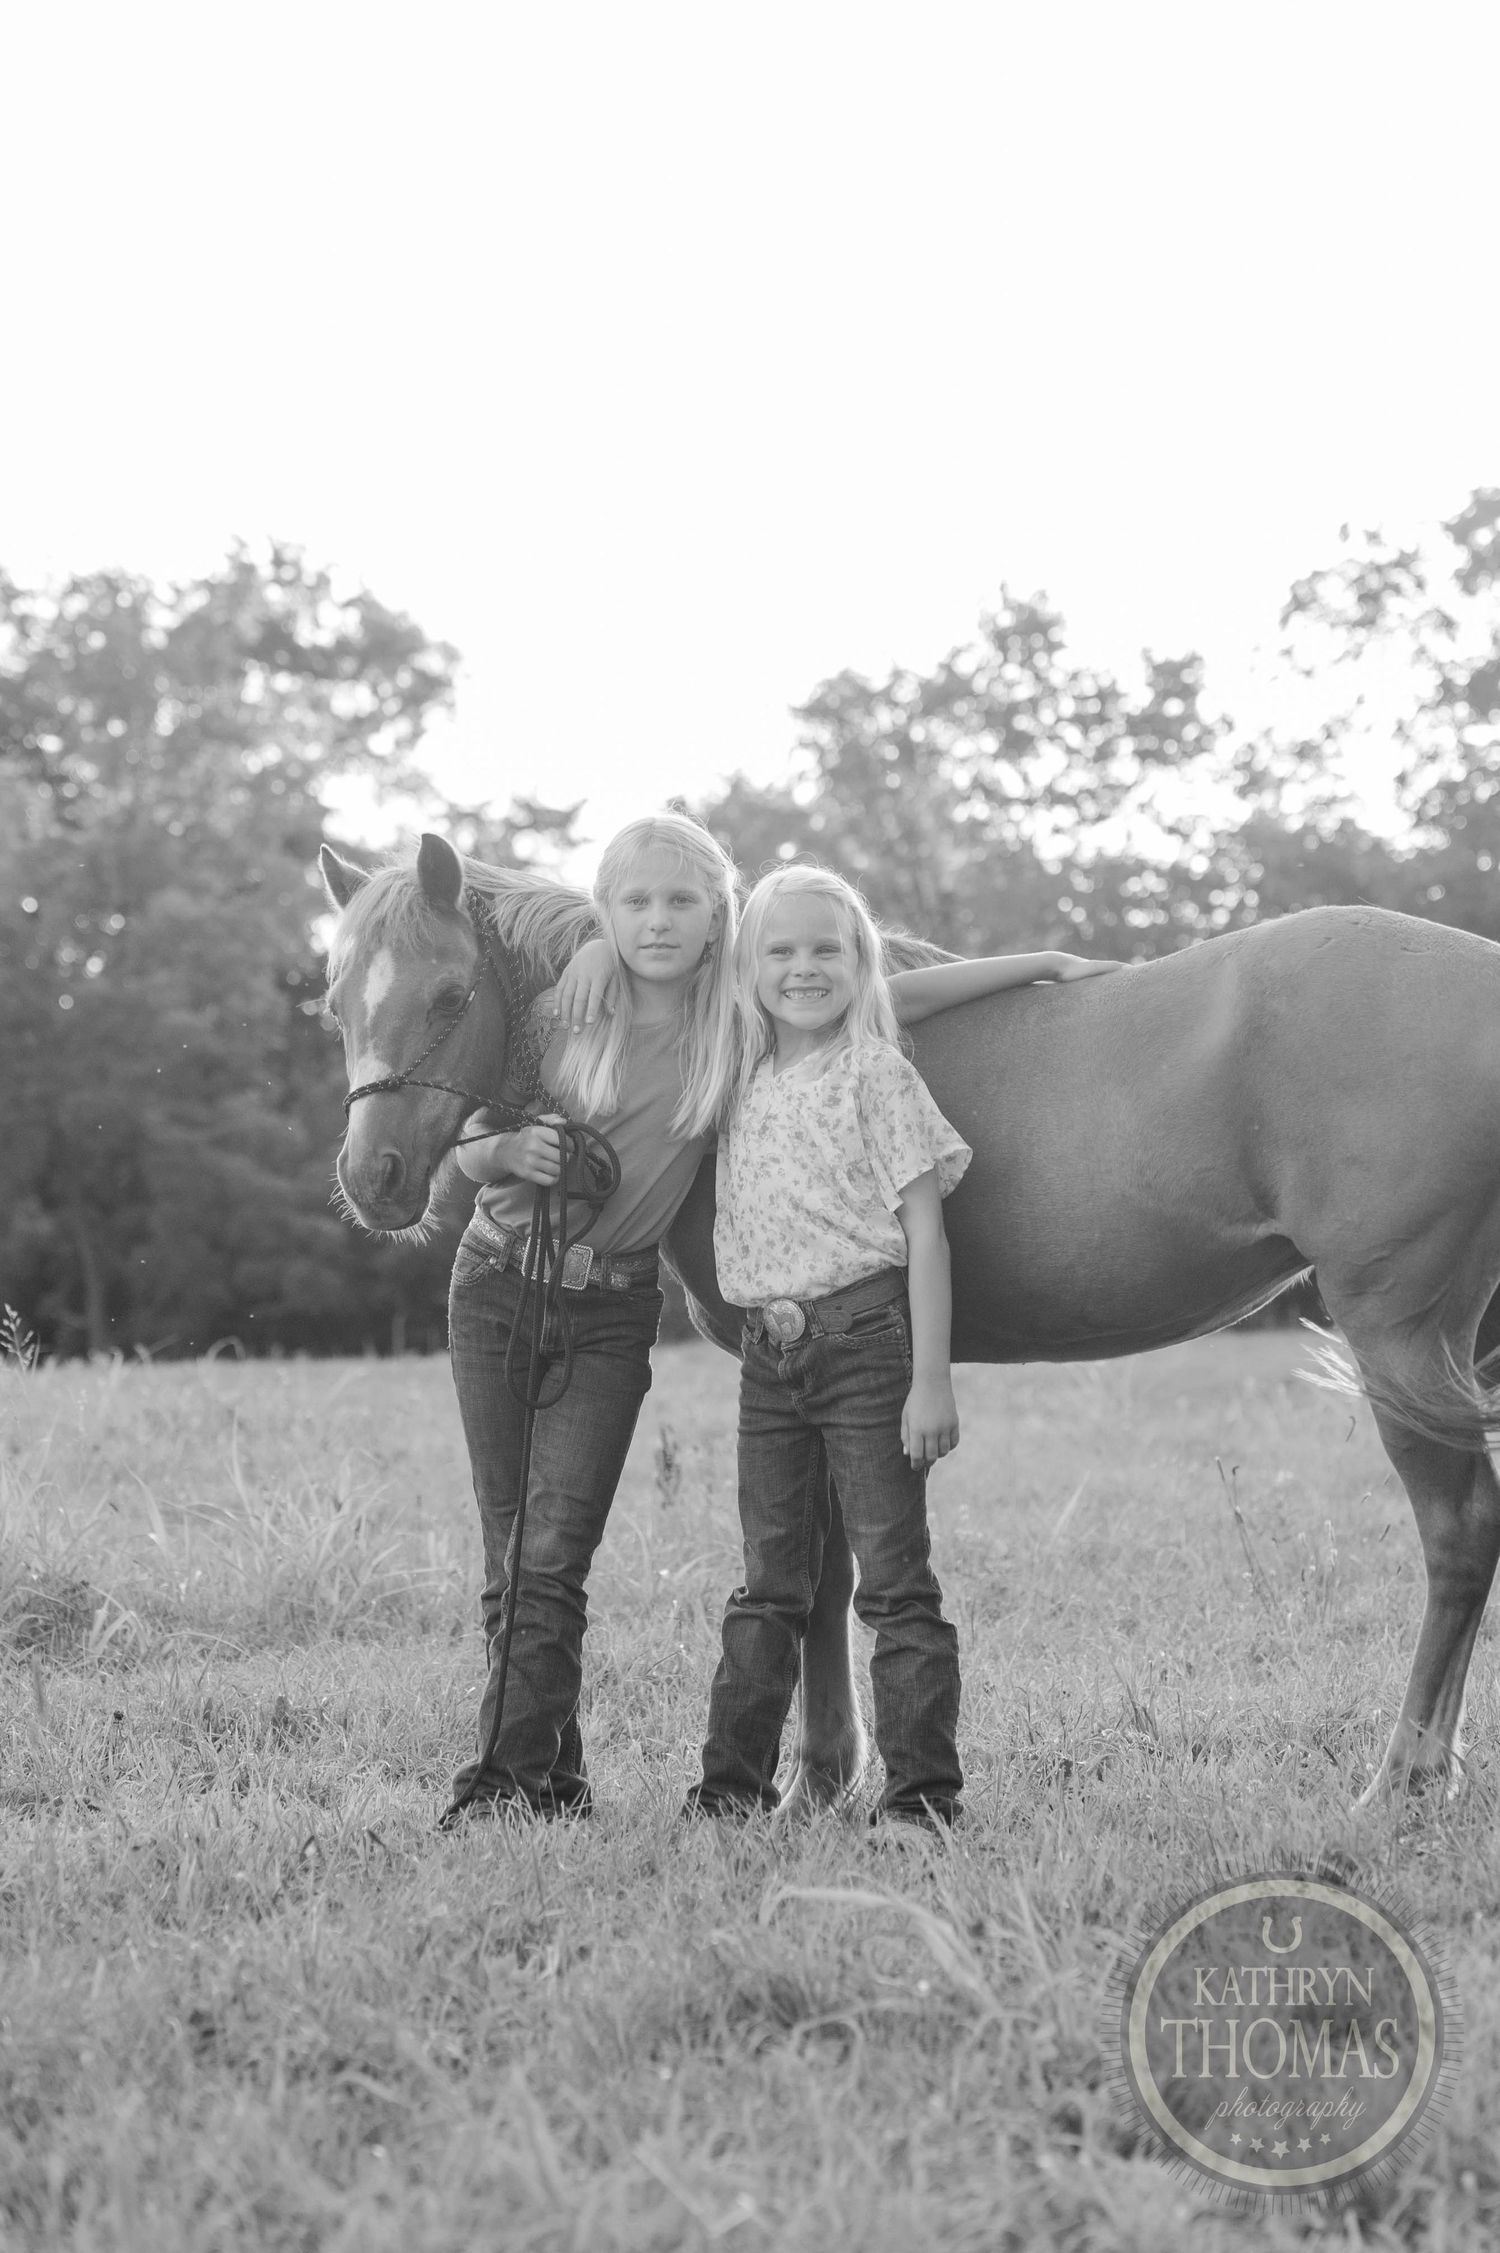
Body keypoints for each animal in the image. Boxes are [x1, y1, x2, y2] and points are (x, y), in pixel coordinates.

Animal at [320, 831, 1500, 1810]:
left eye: (448, 993)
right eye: (337, 1003)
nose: (373, 1179)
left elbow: (817, 1577)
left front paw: (813, 1781)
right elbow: (835, 1572)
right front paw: (829, 1772)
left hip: (1399, 1333)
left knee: (1458, 1535)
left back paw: (1401, 1781)